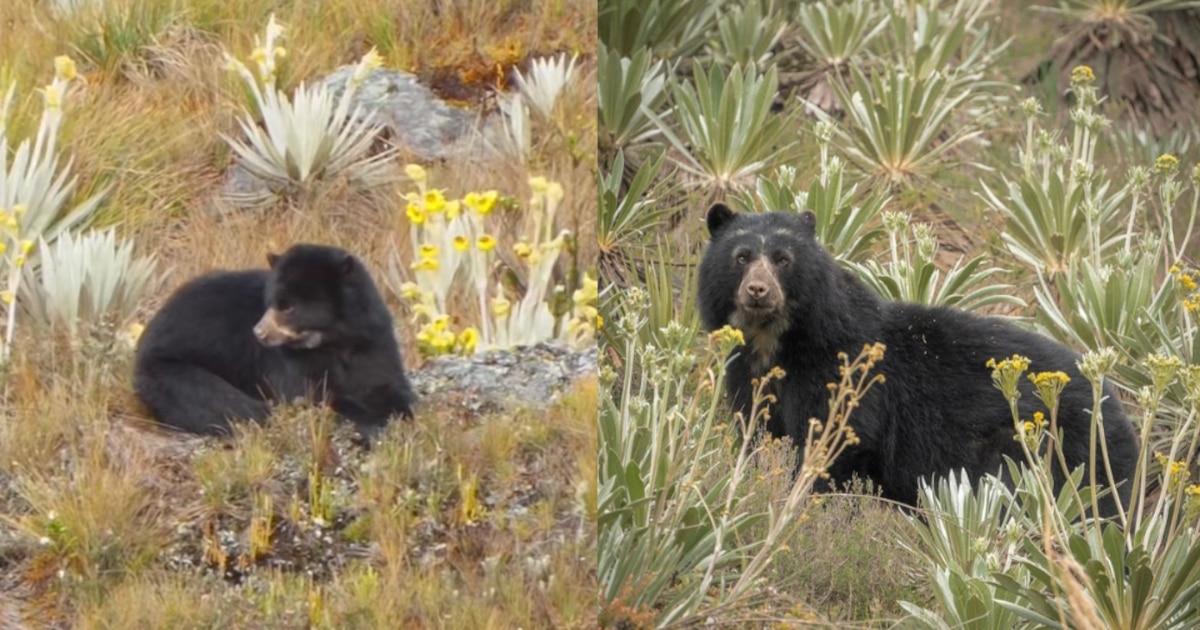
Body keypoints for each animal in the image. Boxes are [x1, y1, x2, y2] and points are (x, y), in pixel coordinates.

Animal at [134, 243, 417, 439]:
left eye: (288, 306)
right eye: (271, 302)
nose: (258, 332)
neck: (334, 341)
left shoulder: (373, 340)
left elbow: (386, 382)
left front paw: (401, 410)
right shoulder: (286, 361)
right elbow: (310, 394)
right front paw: (370, 424)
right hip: (169, 372)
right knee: (222, 401)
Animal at [700, 205, 1137, 516]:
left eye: (783, 259)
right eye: (741, 257)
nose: (758, 290)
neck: (776, 342)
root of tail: (1116, 407)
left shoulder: (840, 372)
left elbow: (835, 441)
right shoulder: (747, 376)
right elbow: (758, 433)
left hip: (1055, 455)